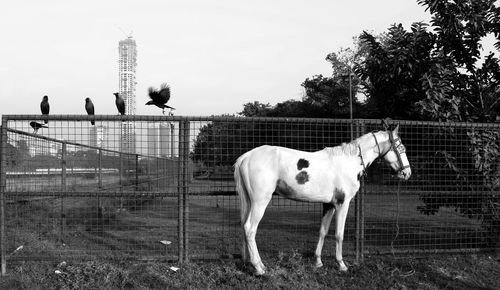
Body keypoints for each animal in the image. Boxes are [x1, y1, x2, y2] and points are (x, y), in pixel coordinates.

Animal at [233, 123, 410, 276]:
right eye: (401, 148)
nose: (407, 173)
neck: (349, 162)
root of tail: (246, 157)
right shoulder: (342, 204)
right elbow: (339, 234)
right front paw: (342, 265)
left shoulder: (329, 205)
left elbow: (323, 231)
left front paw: (318, 262)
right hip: (260, 202)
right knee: (250, 229)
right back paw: (259, 268)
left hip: (249, 202)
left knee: (244, 227)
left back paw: (252, 263)